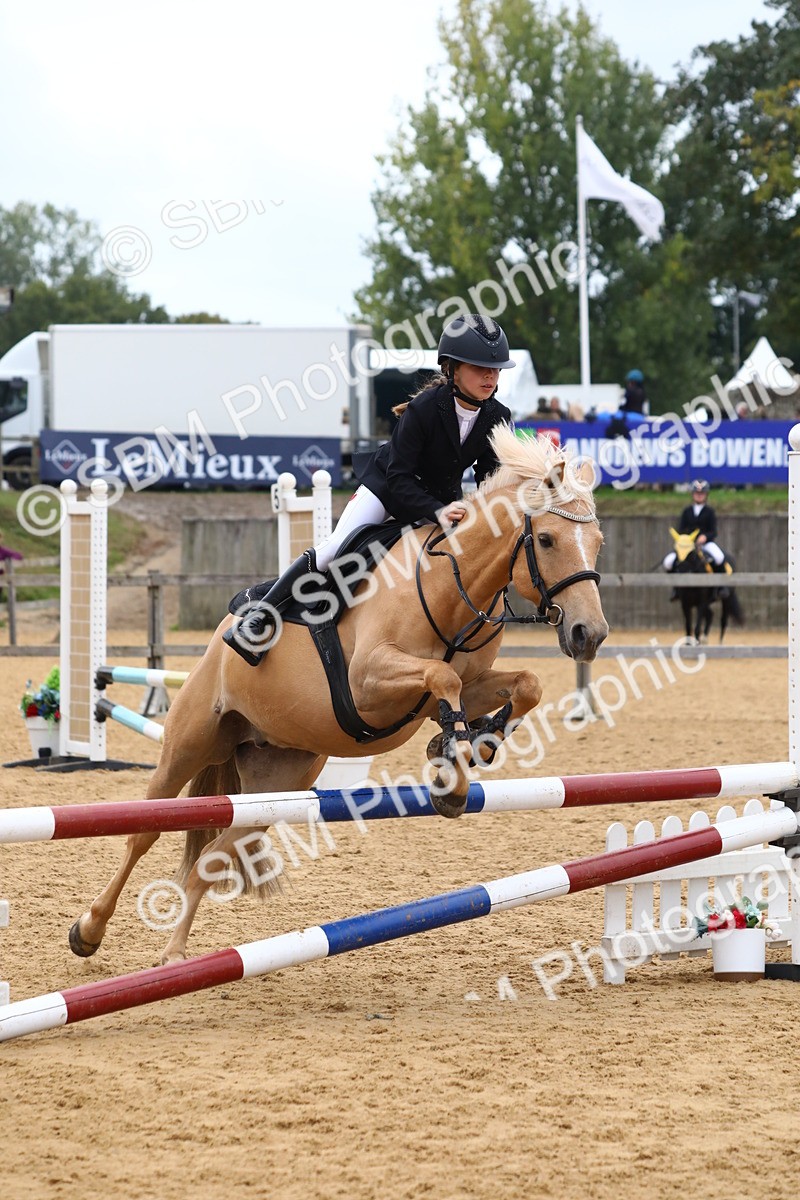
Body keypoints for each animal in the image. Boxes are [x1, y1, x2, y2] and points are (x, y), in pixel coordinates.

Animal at [68, 427, 608, 965]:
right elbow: (442, 679)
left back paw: (176, 954)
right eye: (546, 539)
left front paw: (472, 744)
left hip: (271, 786)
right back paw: (89, 930)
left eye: (598, 542)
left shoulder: (466, 684)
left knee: (212, 855)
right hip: (189, 743)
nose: (590, 634)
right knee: (144, 832)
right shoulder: (369, 684)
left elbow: (523, 685)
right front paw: (452, 772)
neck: (449, 584)